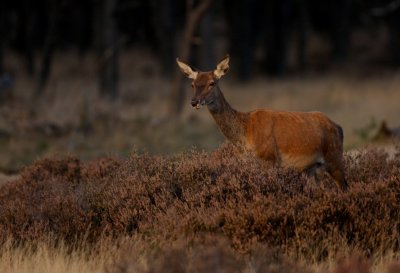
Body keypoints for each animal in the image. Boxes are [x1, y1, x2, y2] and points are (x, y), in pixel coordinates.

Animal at [177, 54, 348, 190]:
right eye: (192, 84)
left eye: (212, 83)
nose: (194, 101)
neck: (245, 134)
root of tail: (339, 128)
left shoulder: (269, 158)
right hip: (312, 168)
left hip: (334, 157)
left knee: (344, 186)